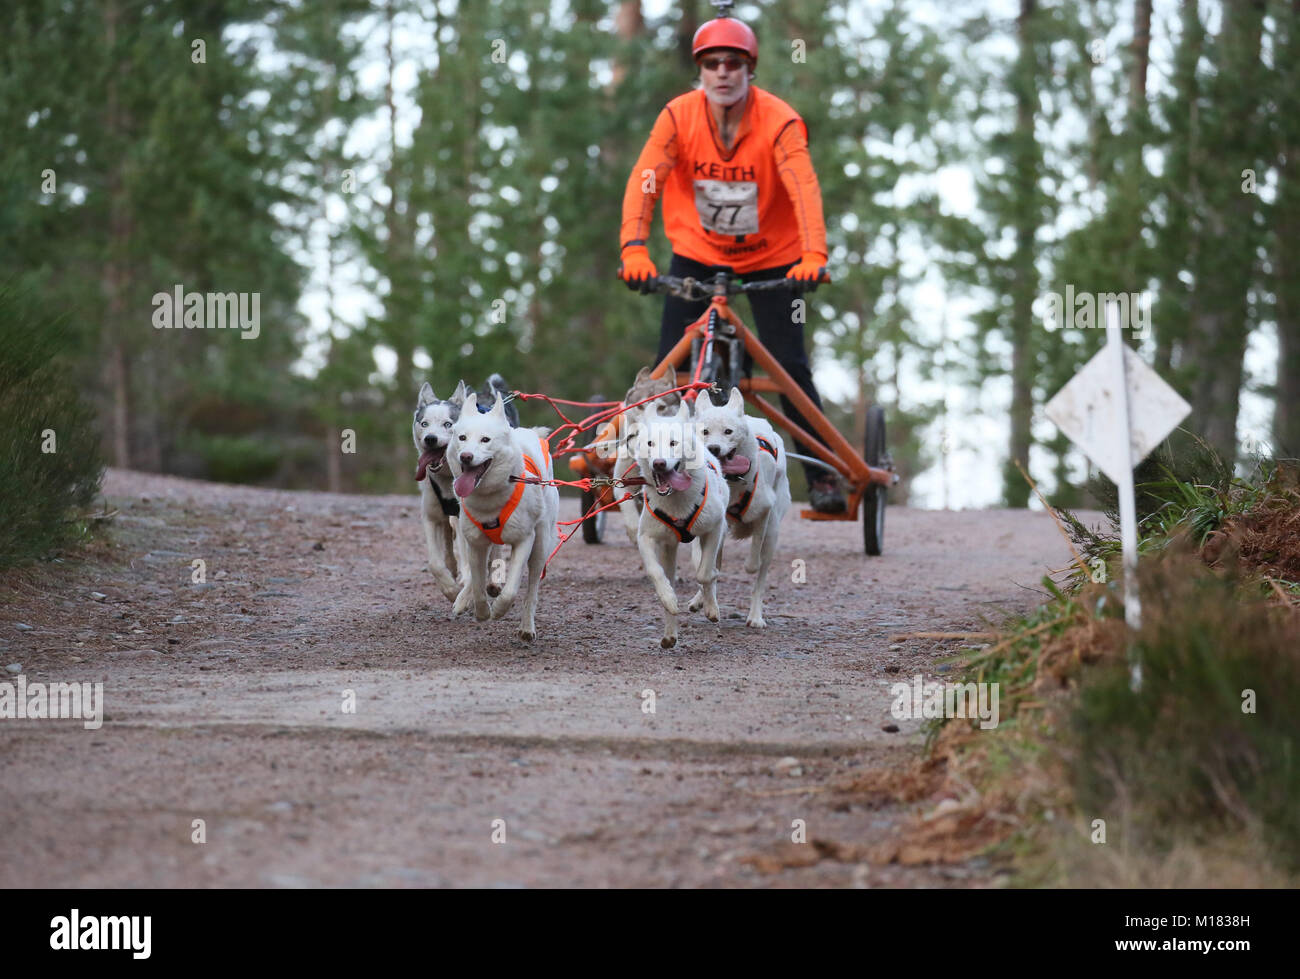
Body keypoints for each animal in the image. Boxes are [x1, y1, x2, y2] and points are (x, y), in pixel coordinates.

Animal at [447, 390, 559, 642]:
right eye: (462, 437)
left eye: (485, 440)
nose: (466, 456)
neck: (490, 501)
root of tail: (529, 432)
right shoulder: (475, 543)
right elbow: (478, 585)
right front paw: (481, 611)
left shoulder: (524, 540)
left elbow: (510, 591)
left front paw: (498, 609)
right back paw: (463, 600)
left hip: (541, 545)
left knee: (532, 589)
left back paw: (527, 627)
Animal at [631, 397, 728, 650]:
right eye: (650, 443)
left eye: (673, 443)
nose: (659, 463)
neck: (676, 501)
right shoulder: (645, 536)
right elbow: (655, 572)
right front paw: (668, 598)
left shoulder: (714, 529)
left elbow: (705, 574)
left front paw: (710, 606)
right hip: (669, 549)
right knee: (670, 579)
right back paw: (670, 633)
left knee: (707, 571)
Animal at [696, 384, 785, 621]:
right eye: (705, 431)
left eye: (728, 431)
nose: (714, 448)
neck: (732, 482)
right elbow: (707, 571)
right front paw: (706, 602)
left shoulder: (764, 512)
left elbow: (753, 562)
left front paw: (749, 565)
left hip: (773, 535)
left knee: (759, 581)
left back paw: (755, 617)